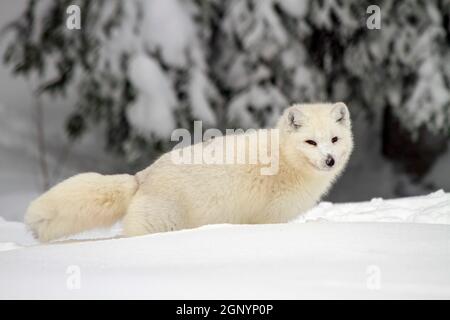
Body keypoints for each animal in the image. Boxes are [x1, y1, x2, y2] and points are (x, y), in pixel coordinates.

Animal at [25, 103, 356, 242]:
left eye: (334, 140)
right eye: (311, 142)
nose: (329, 160)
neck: (284, 160)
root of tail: (142, 176)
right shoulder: (269, 219)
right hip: (160, 225)